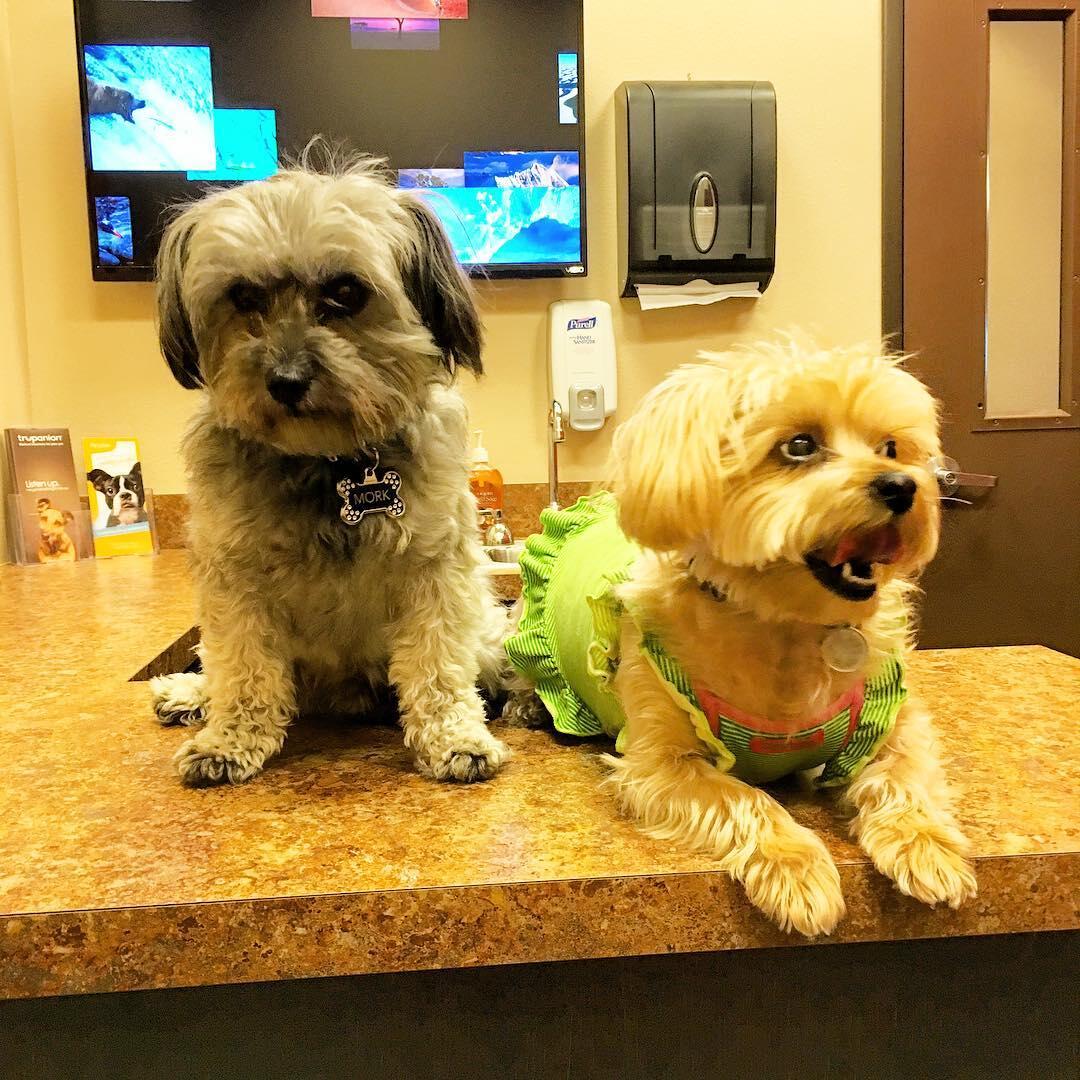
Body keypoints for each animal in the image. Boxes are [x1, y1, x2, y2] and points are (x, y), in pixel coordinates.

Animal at [148, 151, 510, 787]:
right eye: (243, 296)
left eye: (345, 290)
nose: (286, 381)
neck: (330, 462)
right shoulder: (233, 576)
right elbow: (242, 667)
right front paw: (228, 740)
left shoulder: (436, 572)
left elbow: (438, 667)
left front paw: (455, 738)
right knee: (220, 669)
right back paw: (191, 692)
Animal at [503, 342, 977, 937]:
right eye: (799, 445)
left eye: (892, 447)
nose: (903, 485)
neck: (784, 626)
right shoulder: (659, 765)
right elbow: (744, 798)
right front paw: (795, 866)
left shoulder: (892, 718)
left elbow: (903, 775)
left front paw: (926, 844)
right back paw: (525, 704)